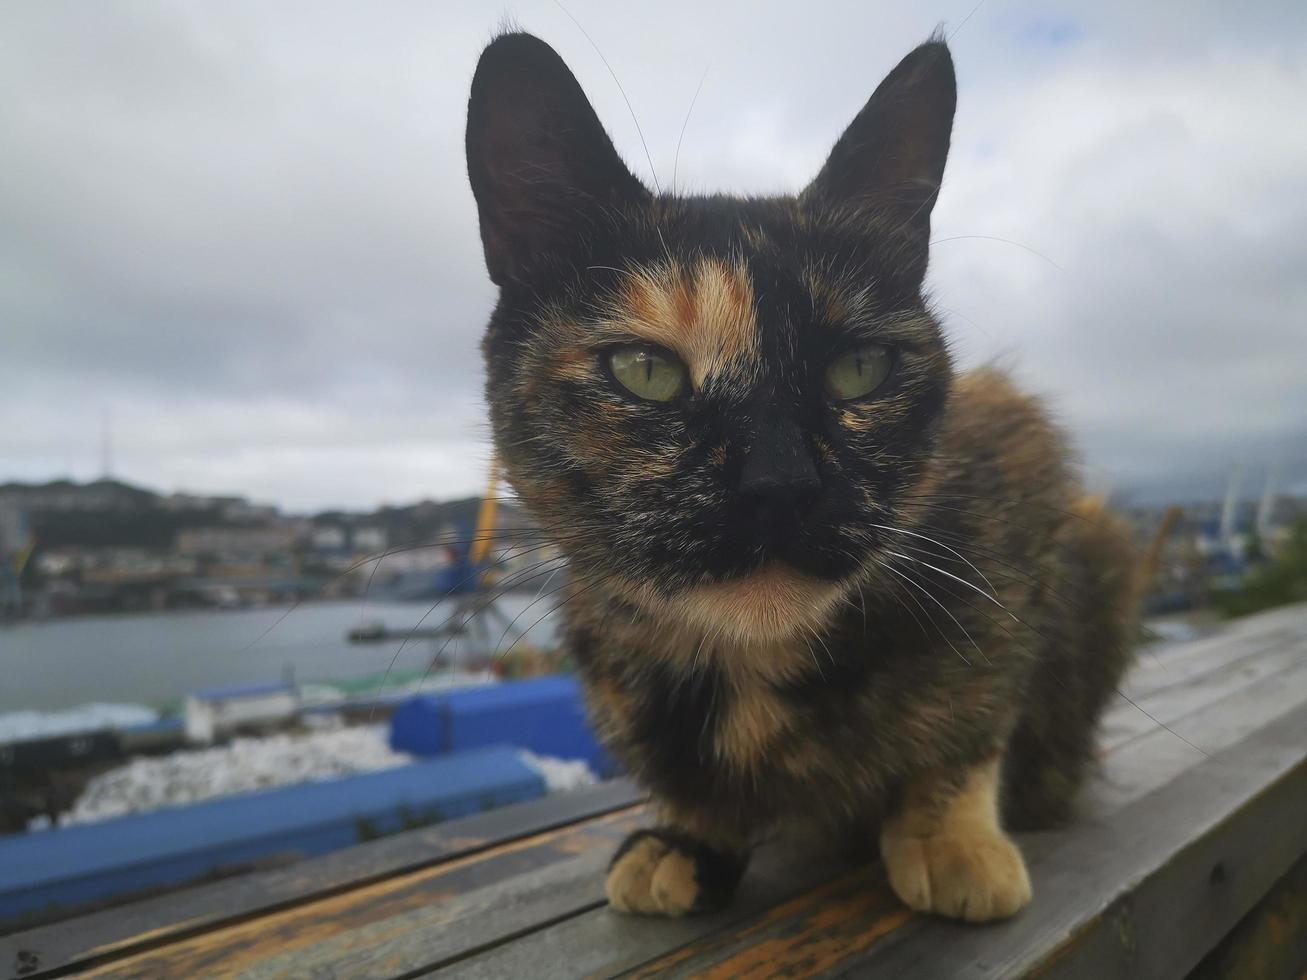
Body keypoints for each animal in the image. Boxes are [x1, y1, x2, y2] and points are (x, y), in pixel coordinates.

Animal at [465, 30, 1139, 919]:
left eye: (859, 368)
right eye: (645, 371)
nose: (780, 485)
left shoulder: (1018, 473)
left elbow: (977, 706)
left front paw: (947, 836)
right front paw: (688, 834)